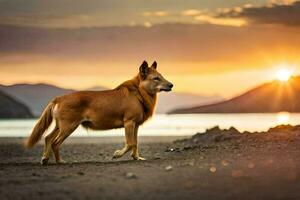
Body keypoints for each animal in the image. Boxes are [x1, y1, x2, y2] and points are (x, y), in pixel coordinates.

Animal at [25, 60, 173, 164]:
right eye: (156, 78)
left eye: (161, 76)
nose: (171, 85)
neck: (138, 93)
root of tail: (59, 98)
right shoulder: (129, 123)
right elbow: (130, 143)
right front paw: (117, 154)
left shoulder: (135, 125)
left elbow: (135, 144)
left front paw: (136, 158)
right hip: (68, 127)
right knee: (55, 143)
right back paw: (59, 161)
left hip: (60, 126)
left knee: (48, 138)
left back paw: (45, 159)